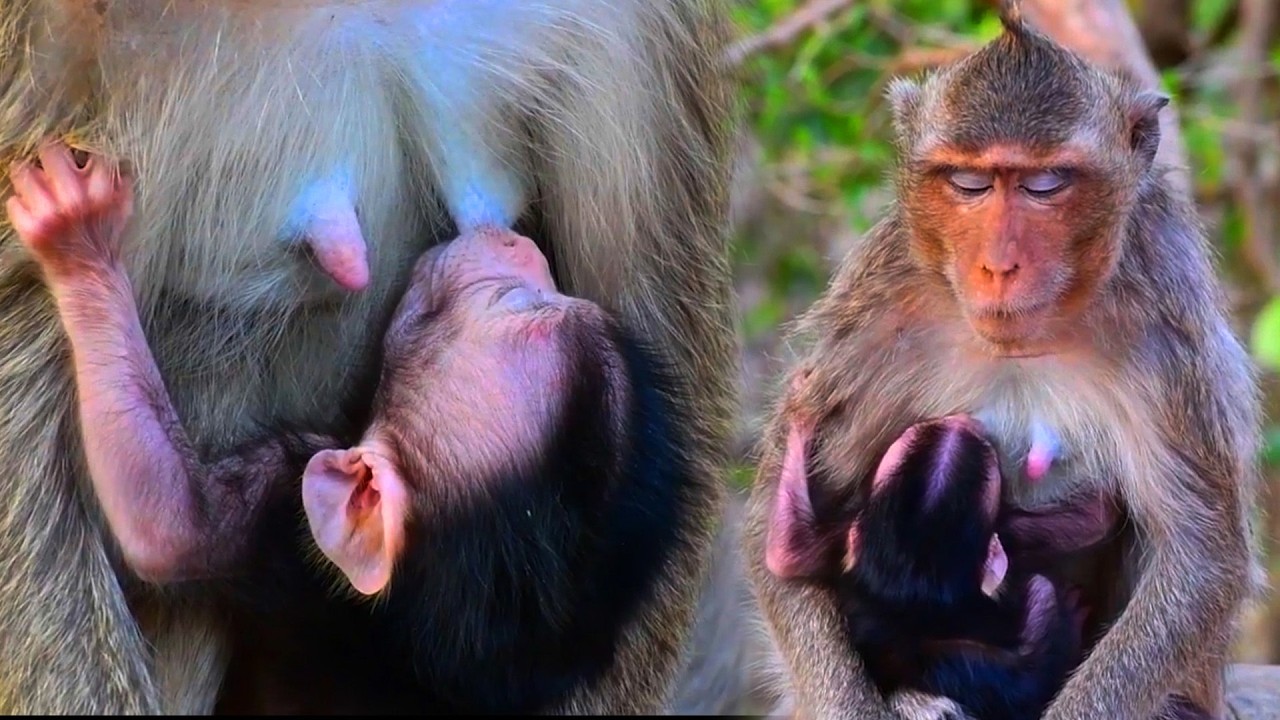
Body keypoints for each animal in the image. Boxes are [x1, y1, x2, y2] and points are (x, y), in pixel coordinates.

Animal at [742, 3, 1263, 719]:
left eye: (1044, 185)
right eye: (969, 183)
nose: (998, 266)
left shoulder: (1168, 320)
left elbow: (1199, 557)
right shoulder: (878, 306)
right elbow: (782, 541)